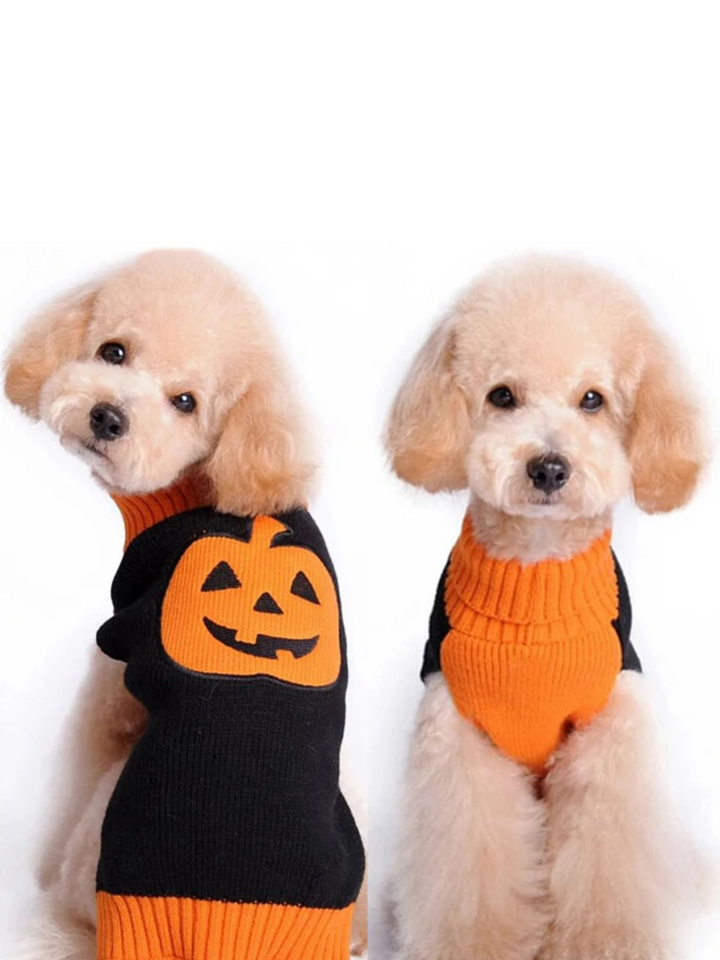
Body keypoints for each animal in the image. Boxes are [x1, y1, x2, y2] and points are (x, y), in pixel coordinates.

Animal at [4, 249, 366, 960]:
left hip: (105, 831)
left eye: (185, 403)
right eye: (113, 351)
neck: (209, 480)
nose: (108, 416)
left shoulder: (116, 665)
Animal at [386, 255, 704, 960]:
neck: (533, 577)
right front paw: (475, 945)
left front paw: (605, 942)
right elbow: (473, 873)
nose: (549, 468)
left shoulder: (607, 735)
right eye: (502, 395)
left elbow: (606, 866)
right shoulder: (460, 740)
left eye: (593, 399)